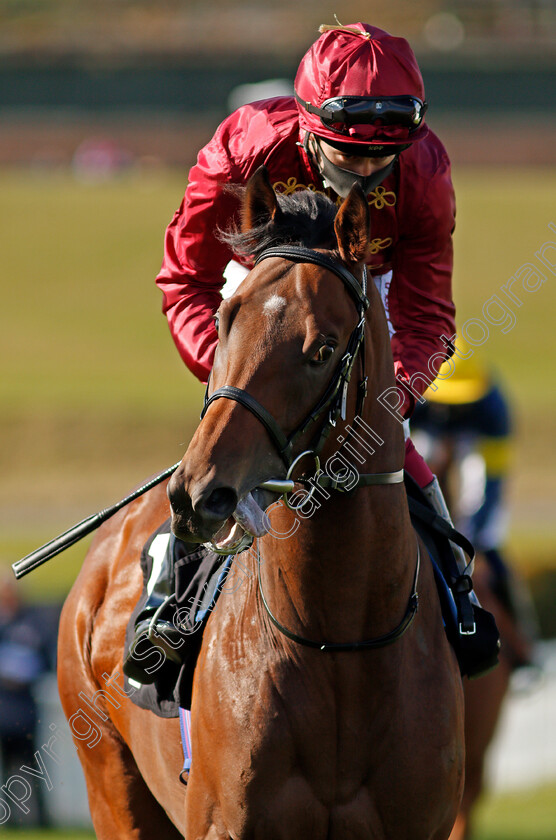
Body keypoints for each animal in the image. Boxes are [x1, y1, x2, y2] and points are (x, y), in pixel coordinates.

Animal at [57, 167, 464, 836]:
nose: (198, 492)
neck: (335, 640)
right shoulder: (226, 822)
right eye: (225, 320)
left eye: (323, 349)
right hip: (110, 786)